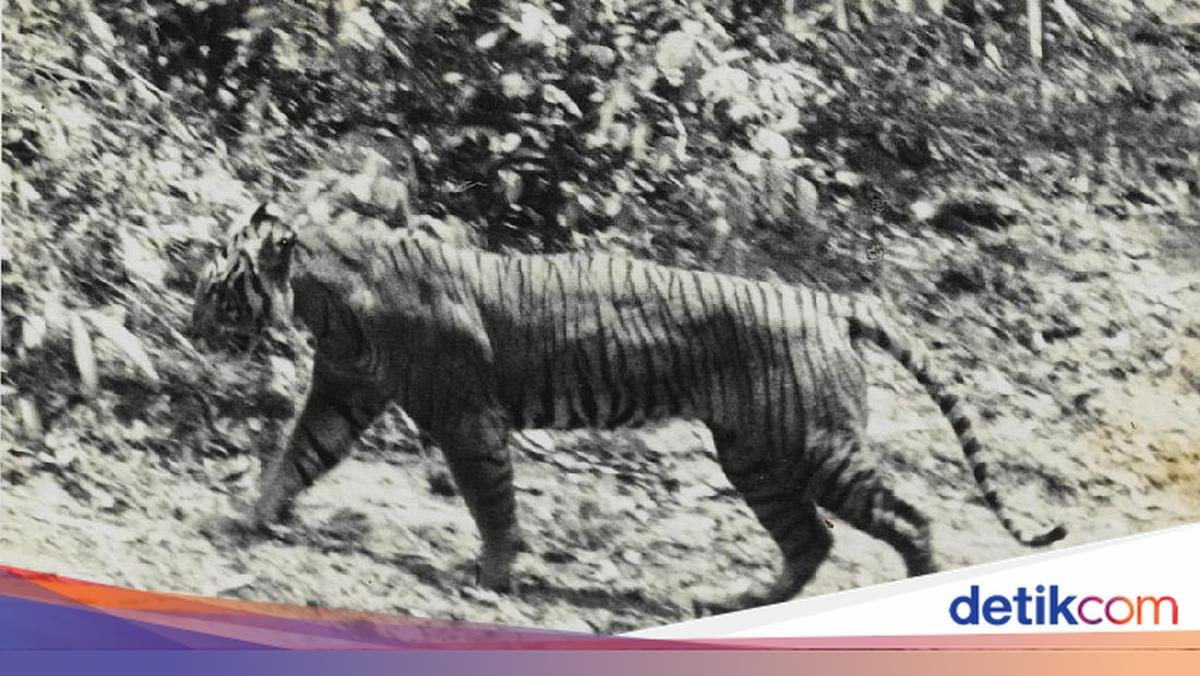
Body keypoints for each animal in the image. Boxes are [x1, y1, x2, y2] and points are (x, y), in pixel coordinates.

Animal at [192, 203, 1066, 616]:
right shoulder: (343, 393)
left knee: (908, 517)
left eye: (216, 285)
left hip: (817, 446)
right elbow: (297, 457)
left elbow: (490, 501)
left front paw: (492, 576)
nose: (191, 325)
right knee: (809, 539)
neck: (326, 297)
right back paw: (734, 604)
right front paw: (247, 519)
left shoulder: (466, 420)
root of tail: (826, 298)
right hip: (754, 454)